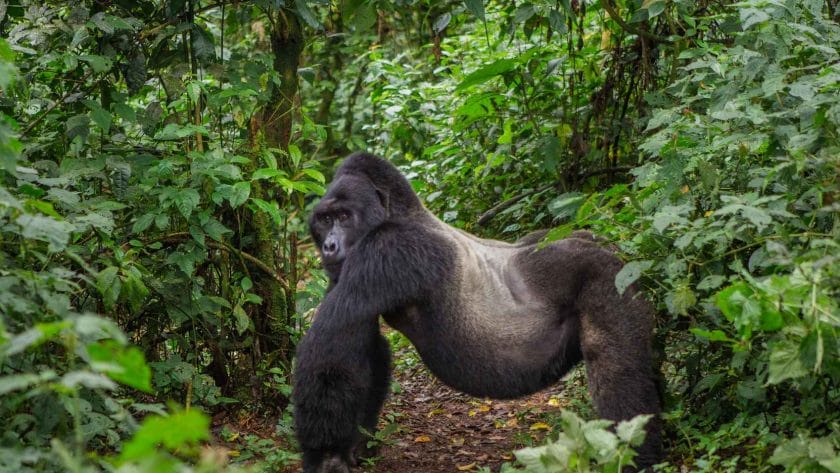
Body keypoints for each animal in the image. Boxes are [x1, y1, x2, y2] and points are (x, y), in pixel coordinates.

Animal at [296, 153, 664, 470]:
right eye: (324, 220)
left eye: (344, 217)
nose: (329, 246)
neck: (399, 212)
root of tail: (615, 249)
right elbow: (366, 349)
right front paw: (355, 445)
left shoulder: (389, 248)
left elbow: (334, 343)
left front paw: (327, 458)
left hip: (609, 275)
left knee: (615, 365)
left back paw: (634, 456)